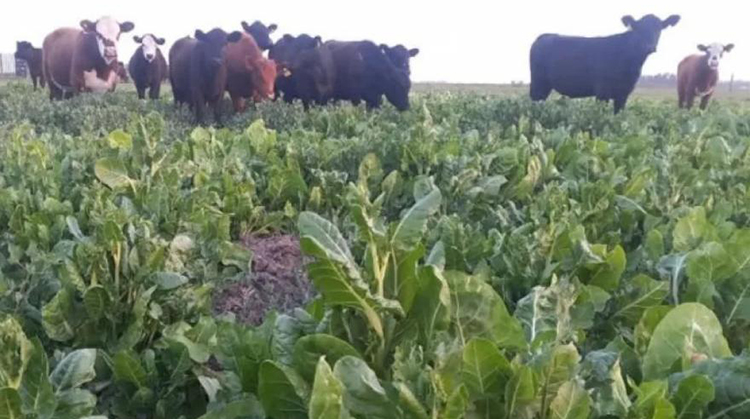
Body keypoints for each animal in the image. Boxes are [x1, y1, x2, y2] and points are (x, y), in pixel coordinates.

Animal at [529, 14, 680, 113]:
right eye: (639, 29)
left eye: (659, 29)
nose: (649, 47)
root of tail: (545, 36)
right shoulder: (602, 92)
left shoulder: (623, 94)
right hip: (538, 83)